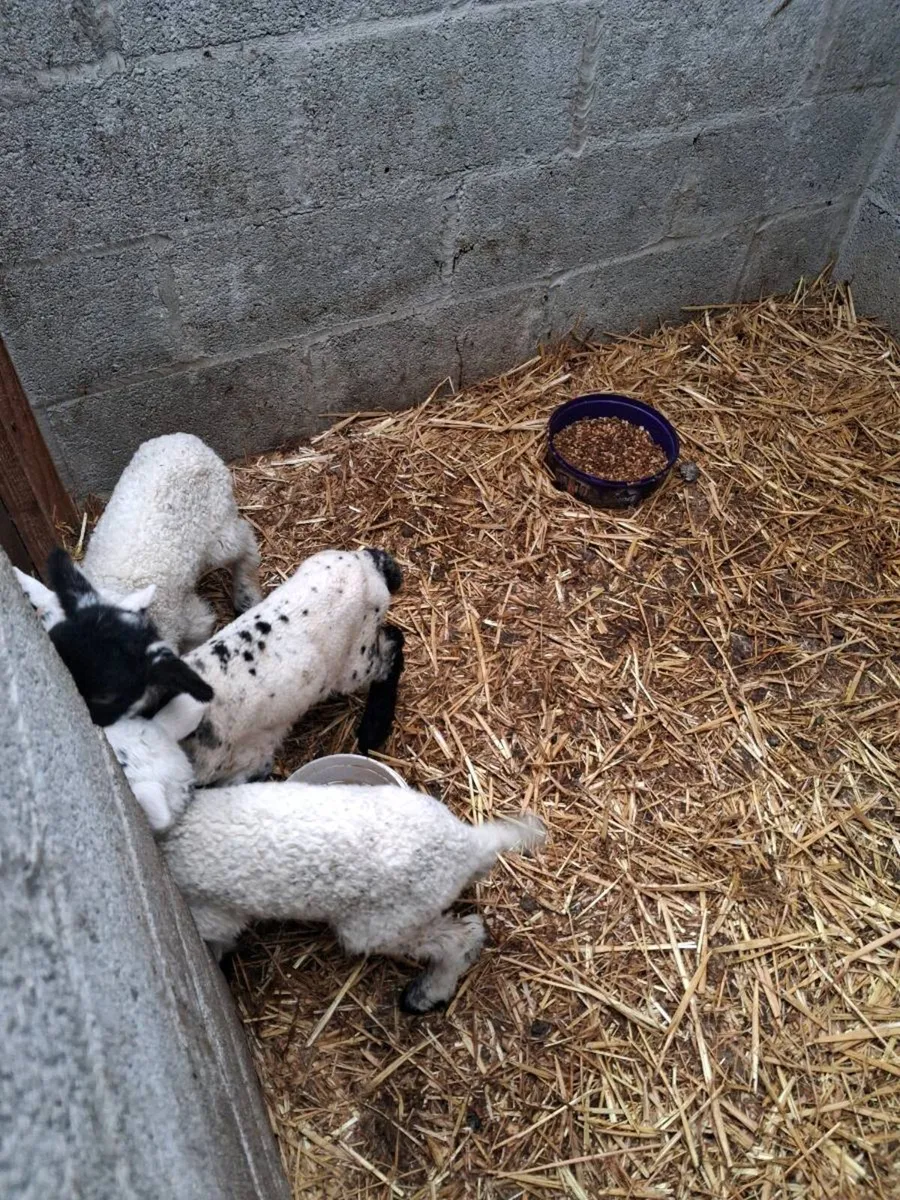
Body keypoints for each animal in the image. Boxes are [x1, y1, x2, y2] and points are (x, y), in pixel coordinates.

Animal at [161, 780, 546, 1012]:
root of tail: (464, 844)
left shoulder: (214, 916)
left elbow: (222, 936)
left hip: (380, 925)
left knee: (455, 941)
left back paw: (427, 993)